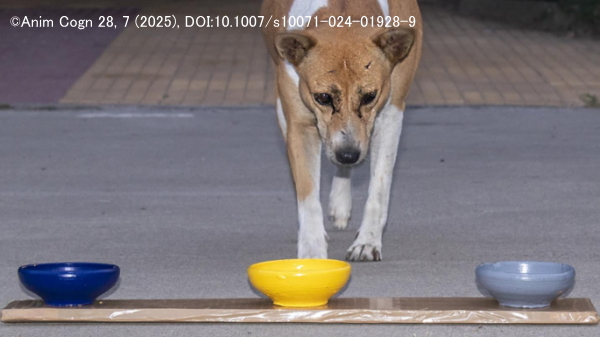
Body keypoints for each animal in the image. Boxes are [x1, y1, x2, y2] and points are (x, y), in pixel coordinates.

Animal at [262, 0, 422, 260]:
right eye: (323, 97)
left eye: (369, 96)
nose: (348, 155)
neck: (343, 10)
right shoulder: (299, 122)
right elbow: (307, 191)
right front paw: (312, 250)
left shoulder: (391, 112)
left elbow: (379, 186)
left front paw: (367, 241)